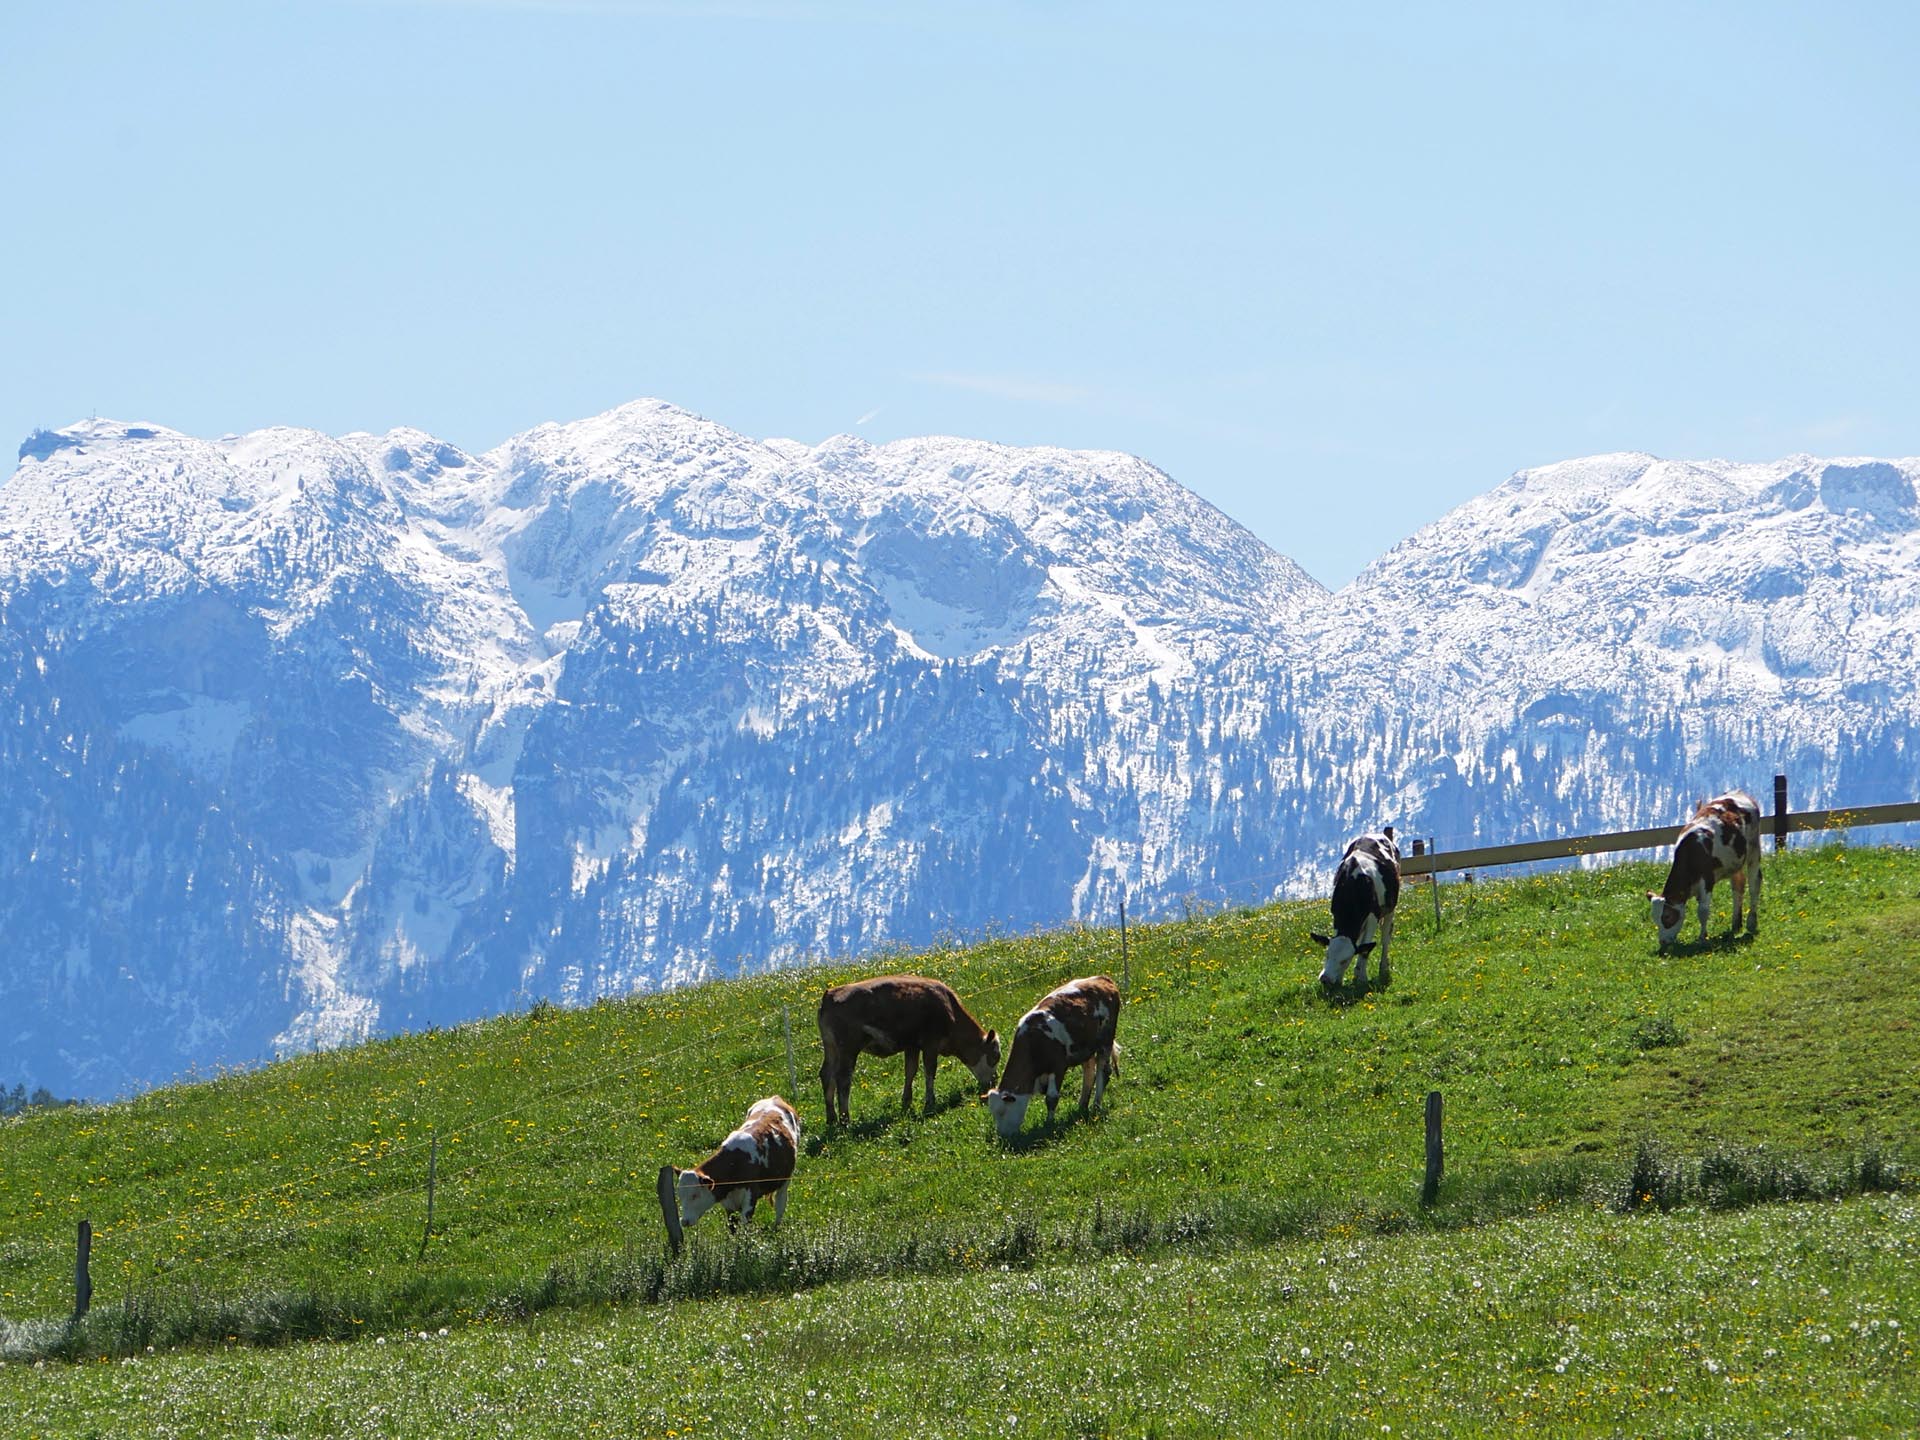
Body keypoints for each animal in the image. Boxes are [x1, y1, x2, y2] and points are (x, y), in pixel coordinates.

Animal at [673, 1096, 801, 1232]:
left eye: (695, 1195)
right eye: (679, 1195)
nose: (684, 1221)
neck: (735, 1164)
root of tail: (774, 1098)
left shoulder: (750, 1198)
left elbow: (745, 1227)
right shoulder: (727, 1203)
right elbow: (732, 1226)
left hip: (785, 1180)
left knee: (780, 1204)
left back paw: (775, 1228)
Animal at [817, 975, 1002, 1125]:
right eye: (995, 1056)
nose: (994, 1081)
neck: (950, 1011)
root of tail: (830, 995)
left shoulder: (912, 1046)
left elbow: (910, 1071)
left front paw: (906, 1102)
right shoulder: (930, 1043)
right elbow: (929, 1071)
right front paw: (929, 1103)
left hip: (831, 1048)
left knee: (826, 1074)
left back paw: (831, 1118)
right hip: (848, 1049)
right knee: (842, 1079)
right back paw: (845, 1120)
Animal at [983, 975, 1121, 1139]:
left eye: (1003, 1111)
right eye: (993, 1113)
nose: (1002, 1136)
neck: (1034, 1040)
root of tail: (1102, 979)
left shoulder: (1058, 1067)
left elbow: (1051, 1098)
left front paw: (1049, 1124)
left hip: (1106, 1041)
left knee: (1103, 1072)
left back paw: (1096, 1105)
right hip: (1085, 1049)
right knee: (1089, 1073)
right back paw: (1082, 1105)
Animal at [1311, 827, 1401, 988]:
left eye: (1344, 960)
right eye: (1327, 955)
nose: (1325, 979)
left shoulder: (1373, 917)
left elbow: (1364, 950)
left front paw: (1361, 978)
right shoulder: (1336, 915)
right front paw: (1341, 979)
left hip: (1390, 908)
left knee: (1385, 938)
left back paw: (1383, 969)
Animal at [1649, 790, 1763, 949]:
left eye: (1667, 916)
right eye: (1654, 918)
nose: (1663, 942)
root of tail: (1738, 793)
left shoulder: (1707, 879)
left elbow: (1702, 911)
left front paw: (1703, 938)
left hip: (1754, 847)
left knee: (1754, 884)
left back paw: (1751, 922)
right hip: (1735, 861)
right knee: (1738, 886)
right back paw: (1735, 925)